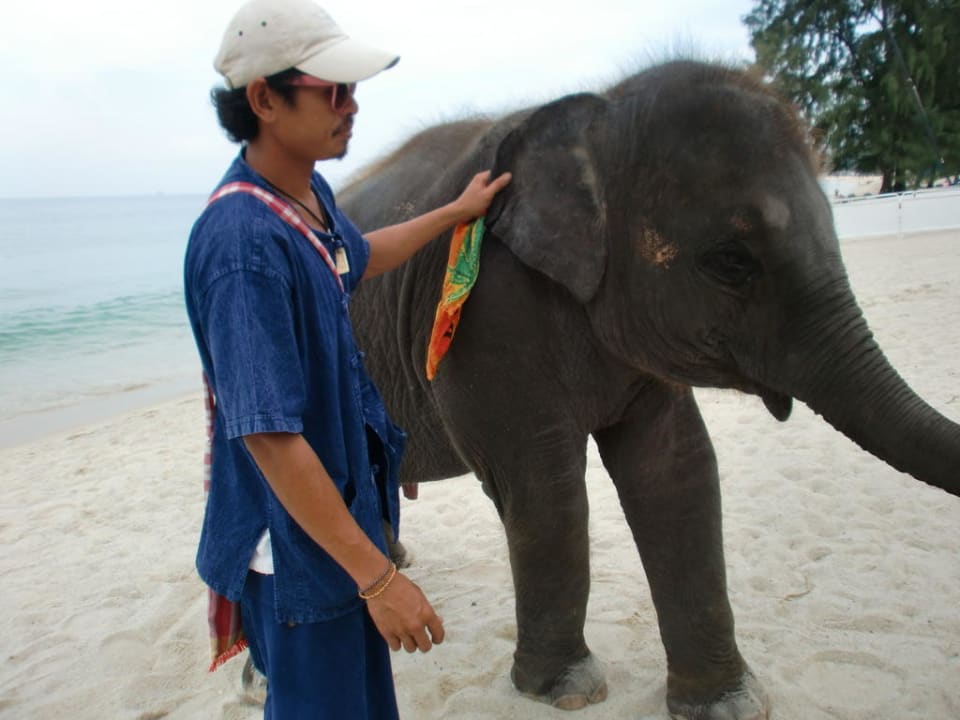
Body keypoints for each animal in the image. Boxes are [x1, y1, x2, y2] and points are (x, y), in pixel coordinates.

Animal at [337, 60, 960, 719]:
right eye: (731, 262)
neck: (596, 116)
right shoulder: (488, 311)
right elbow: (543, 484)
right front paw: (566, 690)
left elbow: (675, 471)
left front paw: (727, 704)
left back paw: (394, 566)